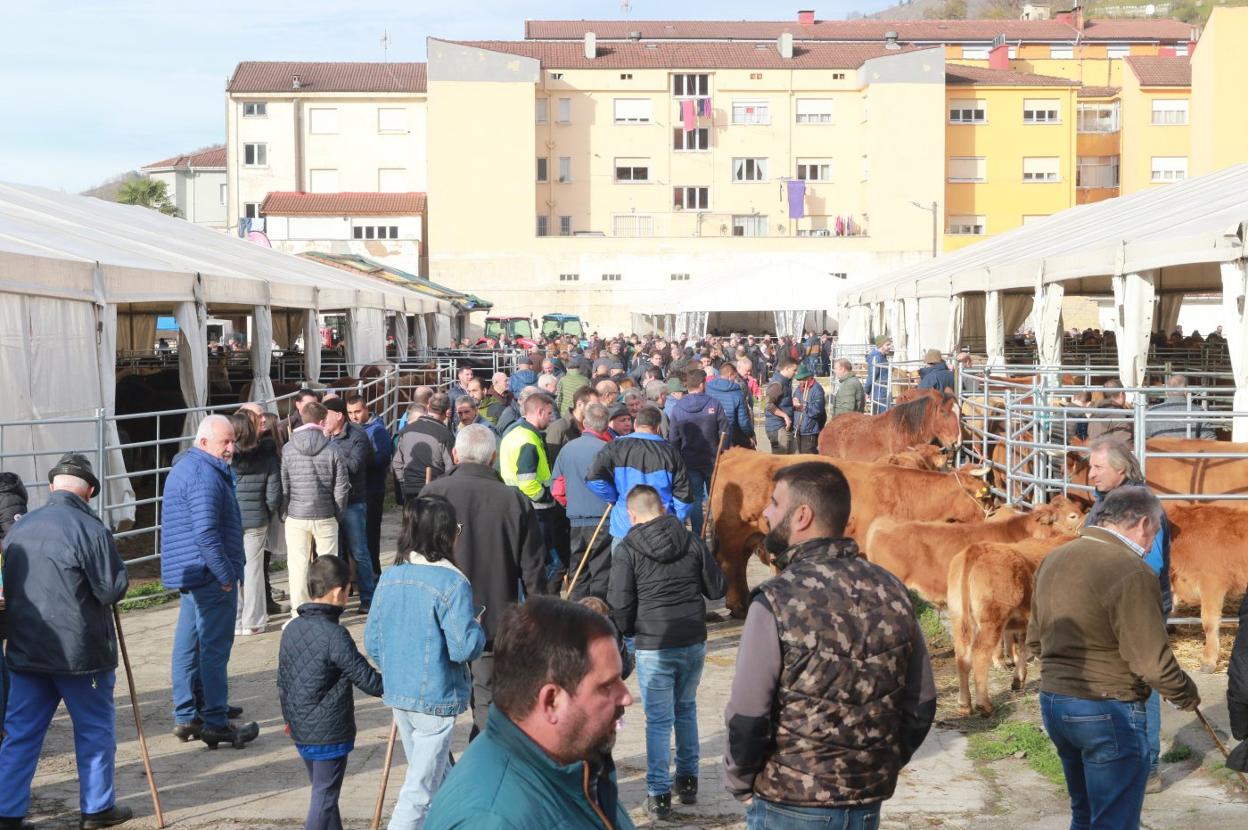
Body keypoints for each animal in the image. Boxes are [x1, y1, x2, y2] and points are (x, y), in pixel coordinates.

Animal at [713, 446, 993, 614]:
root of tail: (738, 451)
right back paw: (737, 604)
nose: (992, 515)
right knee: (730, 564)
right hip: (732, 533)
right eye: (987, 496)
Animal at [943, 534, 1073, 713]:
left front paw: (1018, 680)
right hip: (992, 620)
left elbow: (1024, 647)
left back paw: (964, 705)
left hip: (958, 617)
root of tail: (977, 548)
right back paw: (984, 704)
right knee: (979, 653)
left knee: (962, 656)